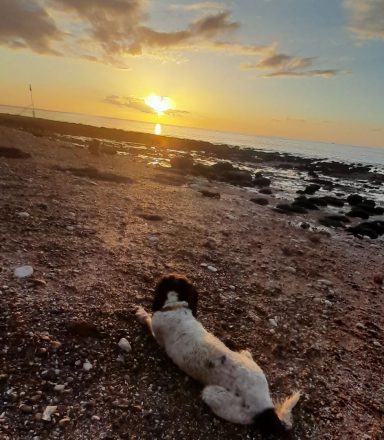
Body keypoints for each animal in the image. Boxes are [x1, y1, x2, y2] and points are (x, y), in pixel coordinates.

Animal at [135, 276, 300, 436]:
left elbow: (148, 320)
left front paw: (141, 313)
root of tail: (266, 408)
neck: (176, 306)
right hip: (250, 363)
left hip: (212, 395)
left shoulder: (156, 330)